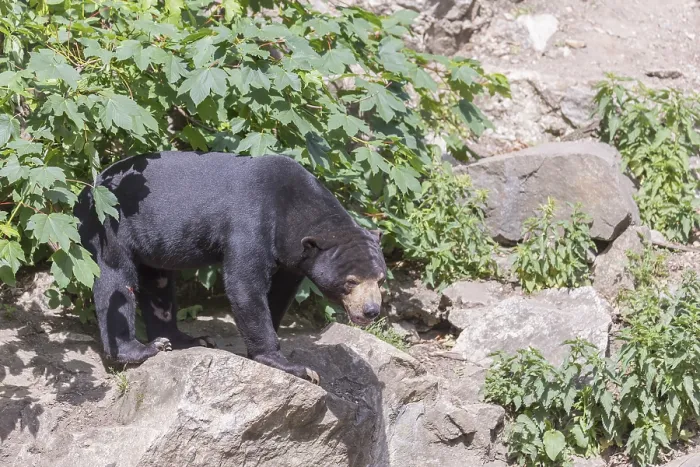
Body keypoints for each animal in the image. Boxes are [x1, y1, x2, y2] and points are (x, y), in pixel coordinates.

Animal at [74, 151, 387, 383]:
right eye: (351, 281)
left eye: (380, 279)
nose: (371, 311)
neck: (292, 209)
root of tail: (86, 191)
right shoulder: (251, 222)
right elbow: (244, 285)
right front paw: (295, 366)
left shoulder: (291, 259)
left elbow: (279, 293)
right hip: (109, 223)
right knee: (115, 281)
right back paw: (142, 348)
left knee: (159, 283)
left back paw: (187, 339)